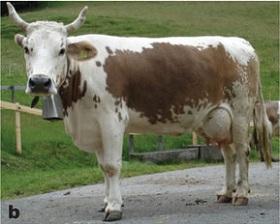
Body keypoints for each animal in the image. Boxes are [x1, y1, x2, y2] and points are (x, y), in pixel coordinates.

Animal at [7, 3, 272, 222]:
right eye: (27, 48)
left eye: (61, 50)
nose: (40, 82)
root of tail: (241, 43)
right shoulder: (95, 125)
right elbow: (102, 166)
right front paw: (106, 201)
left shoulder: (111, 120)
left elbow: (112, 166)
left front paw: (114, 207)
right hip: (215, 119)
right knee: (228, 154)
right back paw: (226, 192)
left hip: (240, 113)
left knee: (242, 151)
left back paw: (241, 194)